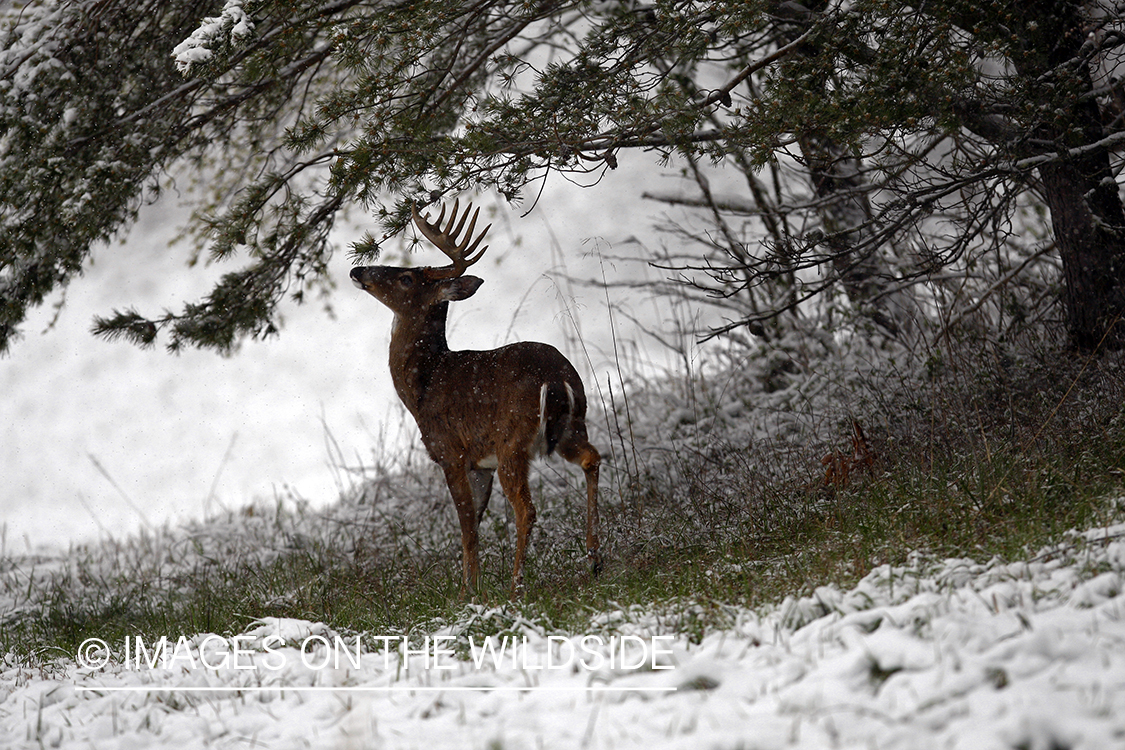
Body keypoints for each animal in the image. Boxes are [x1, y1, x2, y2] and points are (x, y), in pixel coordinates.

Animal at [351, 201, 603, 598]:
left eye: (407, 278)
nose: (357, 269)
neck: (424, 385)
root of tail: (555, 379)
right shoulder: (480, 463)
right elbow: (477, 522)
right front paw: (473, 584)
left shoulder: (450, 452)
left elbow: (467, 527)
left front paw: (466, 594)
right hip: (571, 426)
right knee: (592, 458)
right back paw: (594, 559)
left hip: (512, 439)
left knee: (526, 508)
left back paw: (516, 586)